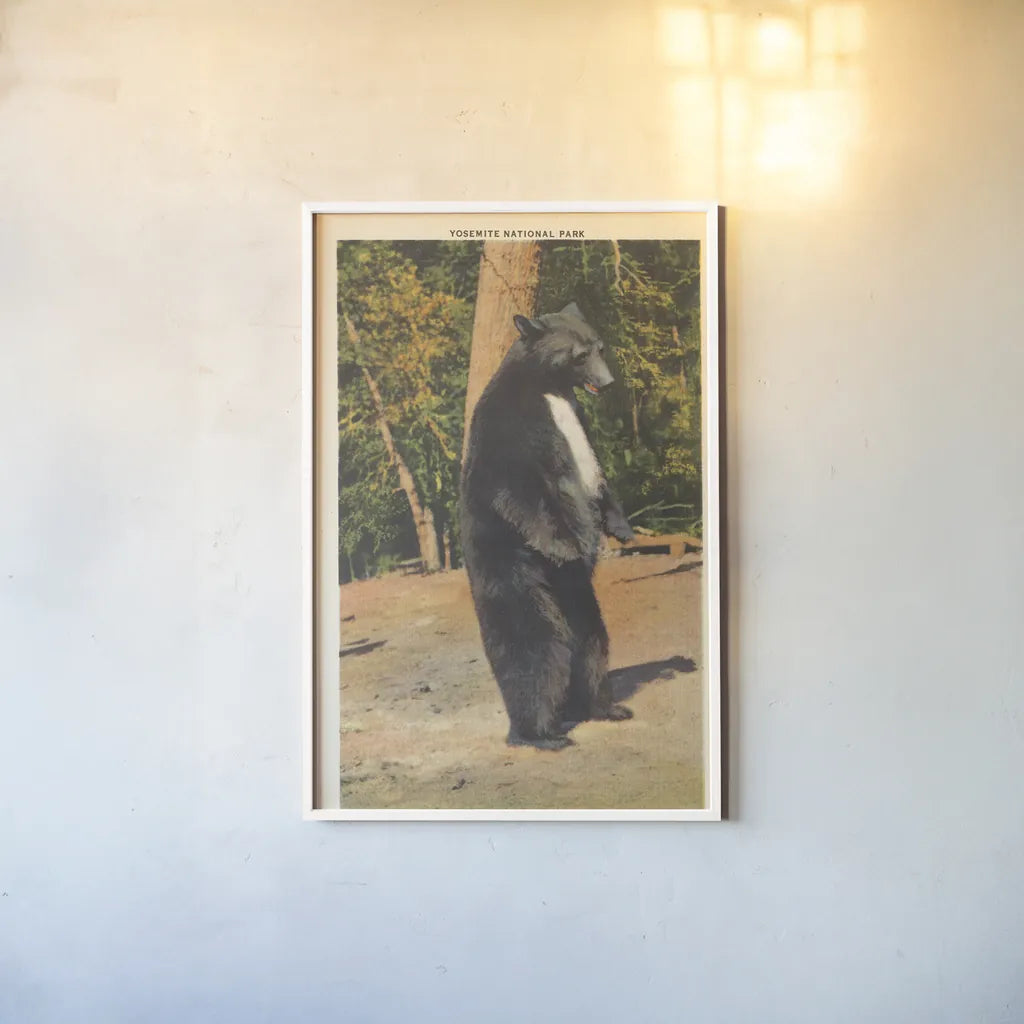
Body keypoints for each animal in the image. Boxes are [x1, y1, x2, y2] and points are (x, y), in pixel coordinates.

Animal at [459, 301, 635, 750]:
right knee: (535, 648)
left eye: (600, 347)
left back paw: (602, 708)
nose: (607, 383)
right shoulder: (514, 424)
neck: (550, 389)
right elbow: (517, 485)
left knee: (592, 643)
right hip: (516, 573)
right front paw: (567, 544)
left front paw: (622, 527)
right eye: (579, 355)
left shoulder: (577, 421)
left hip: (580, 598)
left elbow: (599, 476)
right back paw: (541, 733)